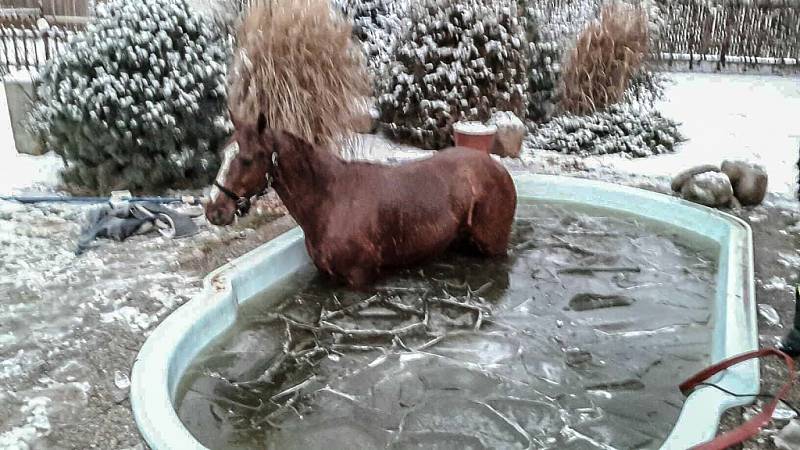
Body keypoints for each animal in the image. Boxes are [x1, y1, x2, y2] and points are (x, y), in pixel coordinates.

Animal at [206, 113, 520, 288]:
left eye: (247, 159)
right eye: (223, 154)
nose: (214, 211)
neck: (330, 201)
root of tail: (497, 167)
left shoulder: (358, 277)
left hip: (494, 246)